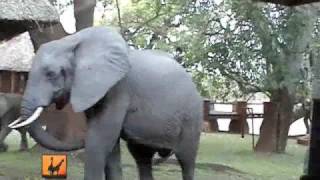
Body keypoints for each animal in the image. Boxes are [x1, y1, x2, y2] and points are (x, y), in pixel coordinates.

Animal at [10, 26, 202, 180]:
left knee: (186, 159)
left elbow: (100, 140)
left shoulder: (118, 88)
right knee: (142, 157)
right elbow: (111, 147)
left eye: (51, 74)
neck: (74, 41)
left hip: (192, 117)